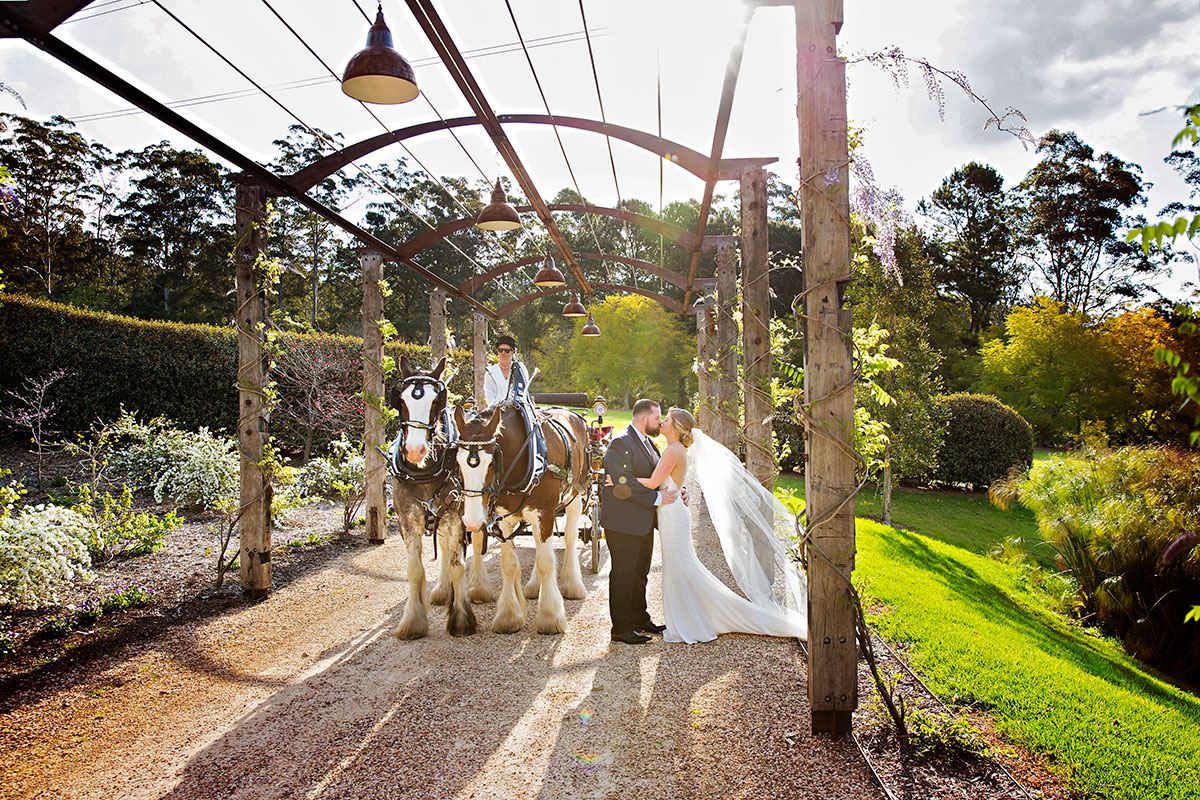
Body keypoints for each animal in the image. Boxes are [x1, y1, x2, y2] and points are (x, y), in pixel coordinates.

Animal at [384, 357, 477, 638]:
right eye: (401, 400)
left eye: (437, 401)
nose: (415, 450)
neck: (423, 474)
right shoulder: (407, 522)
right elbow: (415, 570)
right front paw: (413, 621)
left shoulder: (457, 518)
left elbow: (458, 566)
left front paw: (461, 619)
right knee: (445, 547)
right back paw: (442, 590)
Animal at [451, 402, 590, 633]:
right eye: (458, 462)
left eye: (491, 463)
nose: (472, 522)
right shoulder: (504, 518)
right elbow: (509, 564)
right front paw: (509, 615)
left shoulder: (545, 513)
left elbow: (546, 561)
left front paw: (550, 616)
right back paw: (535, 585)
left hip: (575, 495)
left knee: (570, 537)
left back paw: (572, 584)